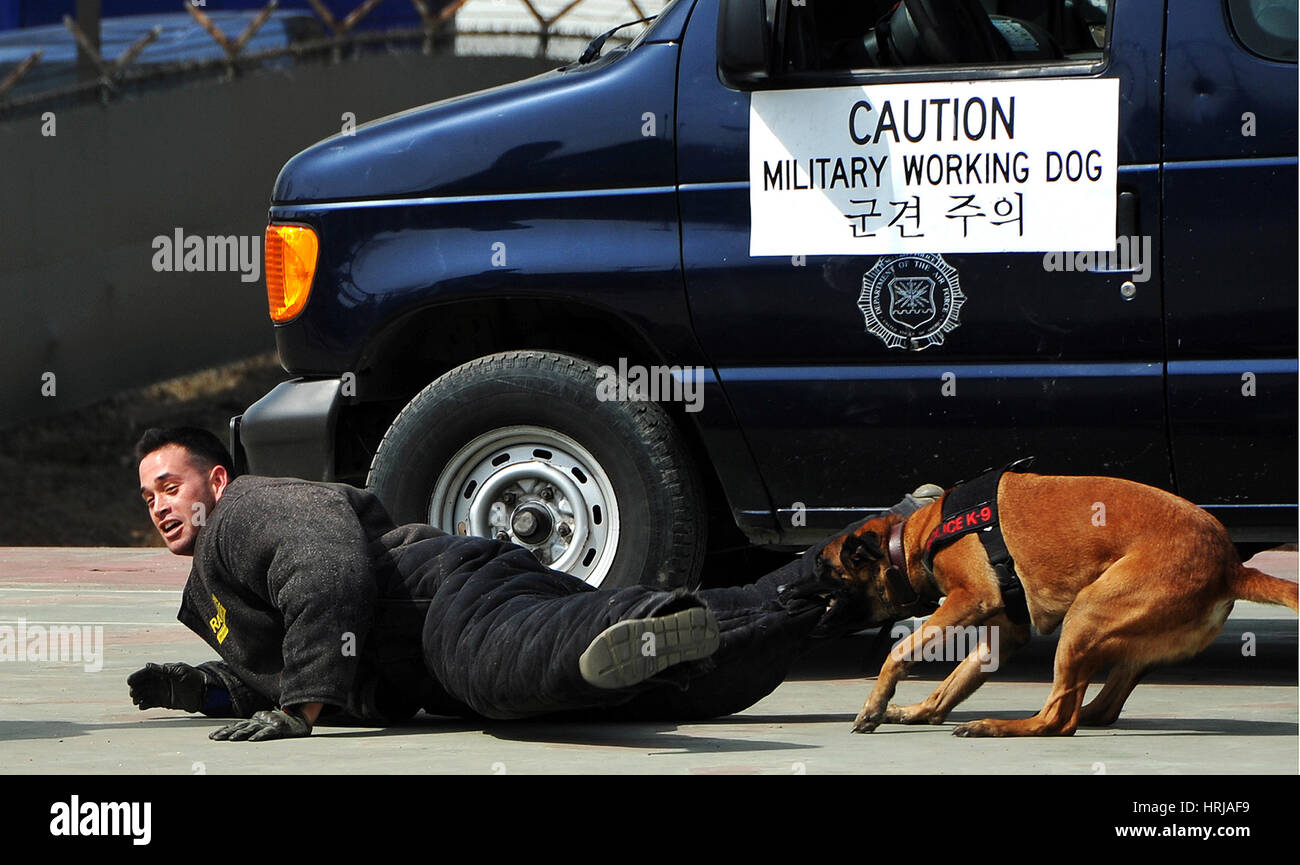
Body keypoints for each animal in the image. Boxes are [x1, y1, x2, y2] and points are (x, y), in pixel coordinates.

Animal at [816, 468, 1294, 738]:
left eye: (829, 572)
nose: (812, 615)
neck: (918, 536)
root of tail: (1232, 566)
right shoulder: (1001, 636)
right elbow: (954, 683)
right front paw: (919, 712)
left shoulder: (969, 599)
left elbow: (900, 651)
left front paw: (875, 704)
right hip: (1119, 635)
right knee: (1097, 708)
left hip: (1086, 616)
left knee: (1059, 719)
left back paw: (1001, 727)